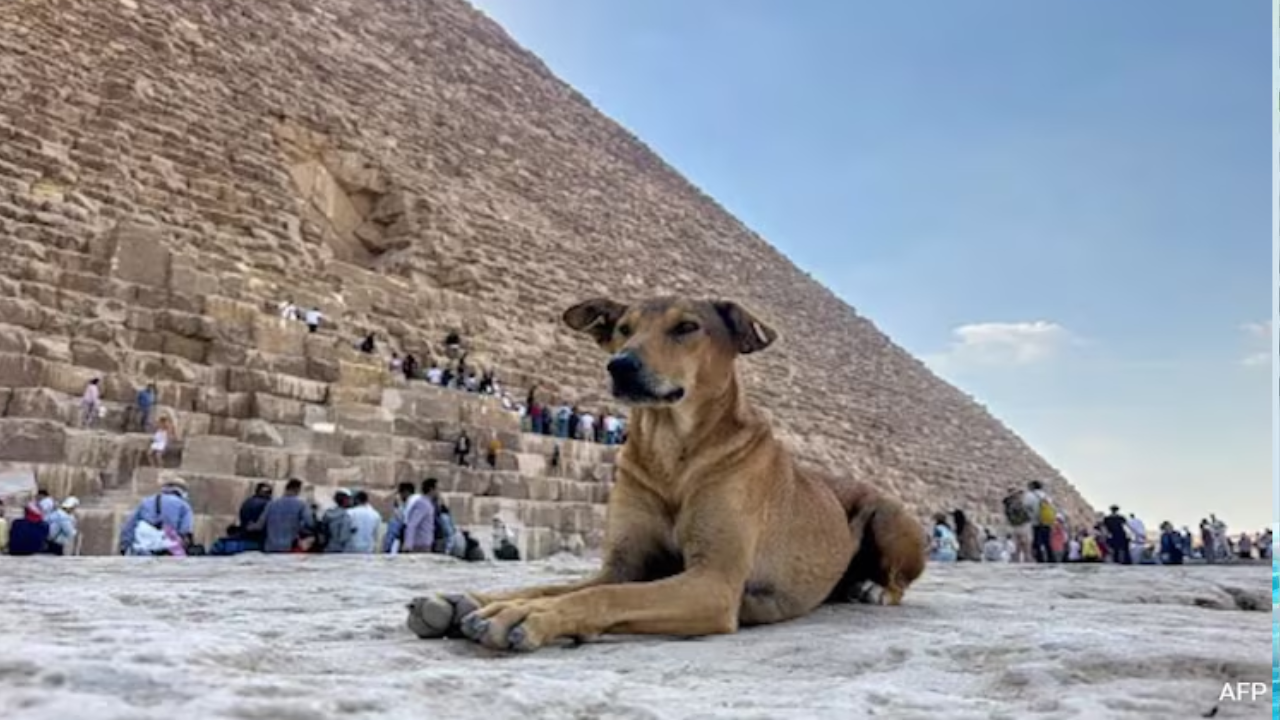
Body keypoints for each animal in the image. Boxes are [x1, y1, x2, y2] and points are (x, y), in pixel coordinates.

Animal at [404, 294, 926, 648]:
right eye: (624, 328)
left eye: (687, 327)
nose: (620, 365)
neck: (671, 451)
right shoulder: (622, 567)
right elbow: (555, 585)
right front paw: (478, 599)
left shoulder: (712, 583)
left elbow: (602, 599)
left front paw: (523, 616)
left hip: (889, 513)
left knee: (898, 581)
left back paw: (872, 589)